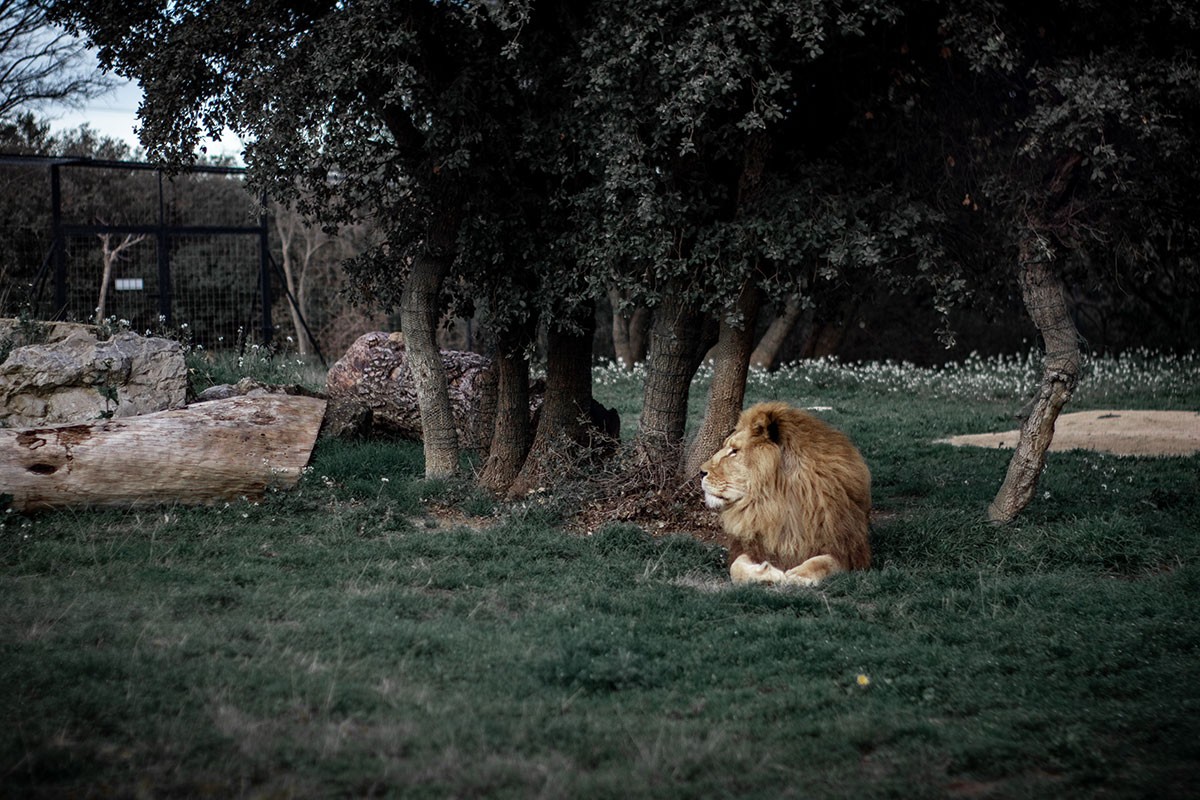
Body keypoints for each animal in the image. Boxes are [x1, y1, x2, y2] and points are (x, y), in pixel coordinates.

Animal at [696, 402, 873, 585]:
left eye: (734, 451)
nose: (700, 472)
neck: (777, 502)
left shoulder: (848, 549)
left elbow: (824, 562)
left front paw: (799, 575)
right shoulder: (751, 546)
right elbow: (736, 567)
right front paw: (767, 573)